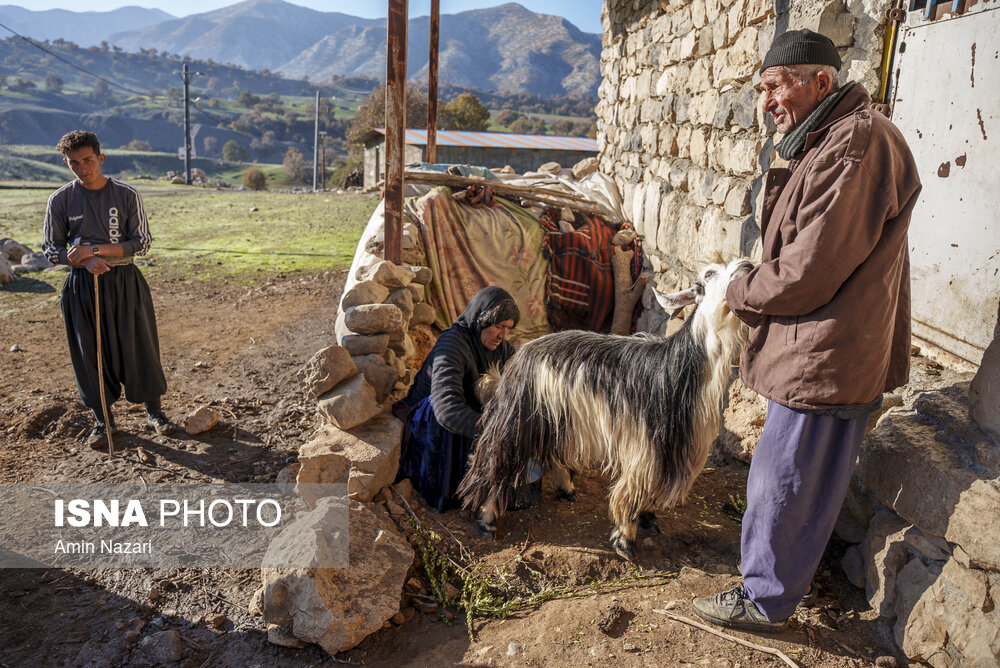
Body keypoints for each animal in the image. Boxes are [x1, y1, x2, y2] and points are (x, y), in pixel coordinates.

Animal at [454, 258, 752, 560]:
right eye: (709, 274)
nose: (747, 265)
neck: (675, 369)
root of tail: (516, 360)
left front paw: (647, 518)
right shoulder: (645, 446)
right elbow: (632, 488)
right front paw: (625, 540)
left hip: (554, 418)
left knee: (550, 453)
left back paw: (566, 487)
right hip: (519, 420)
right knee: (497, 464)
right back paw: (487, 521)